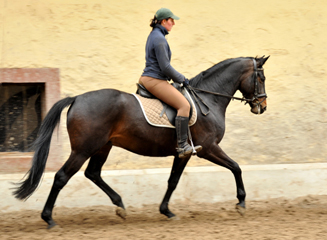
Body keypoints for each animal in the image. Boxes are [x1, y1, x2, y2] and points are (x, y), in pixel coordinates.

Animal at [12, 55, 270, 228]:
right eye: (261, 77)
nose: (262, 106)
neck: (207, 99)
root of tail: (76, 99)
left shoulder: (184, 153)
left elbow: (173, 181)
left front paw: (166, 211)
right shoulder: (208, 148)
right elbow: (236, 167)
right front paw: (241, 203)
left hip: (102, 147)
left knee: (93, 173)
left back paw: (120, 206)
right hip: (83, 149)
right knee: (62, 177)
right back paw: (49, 219)